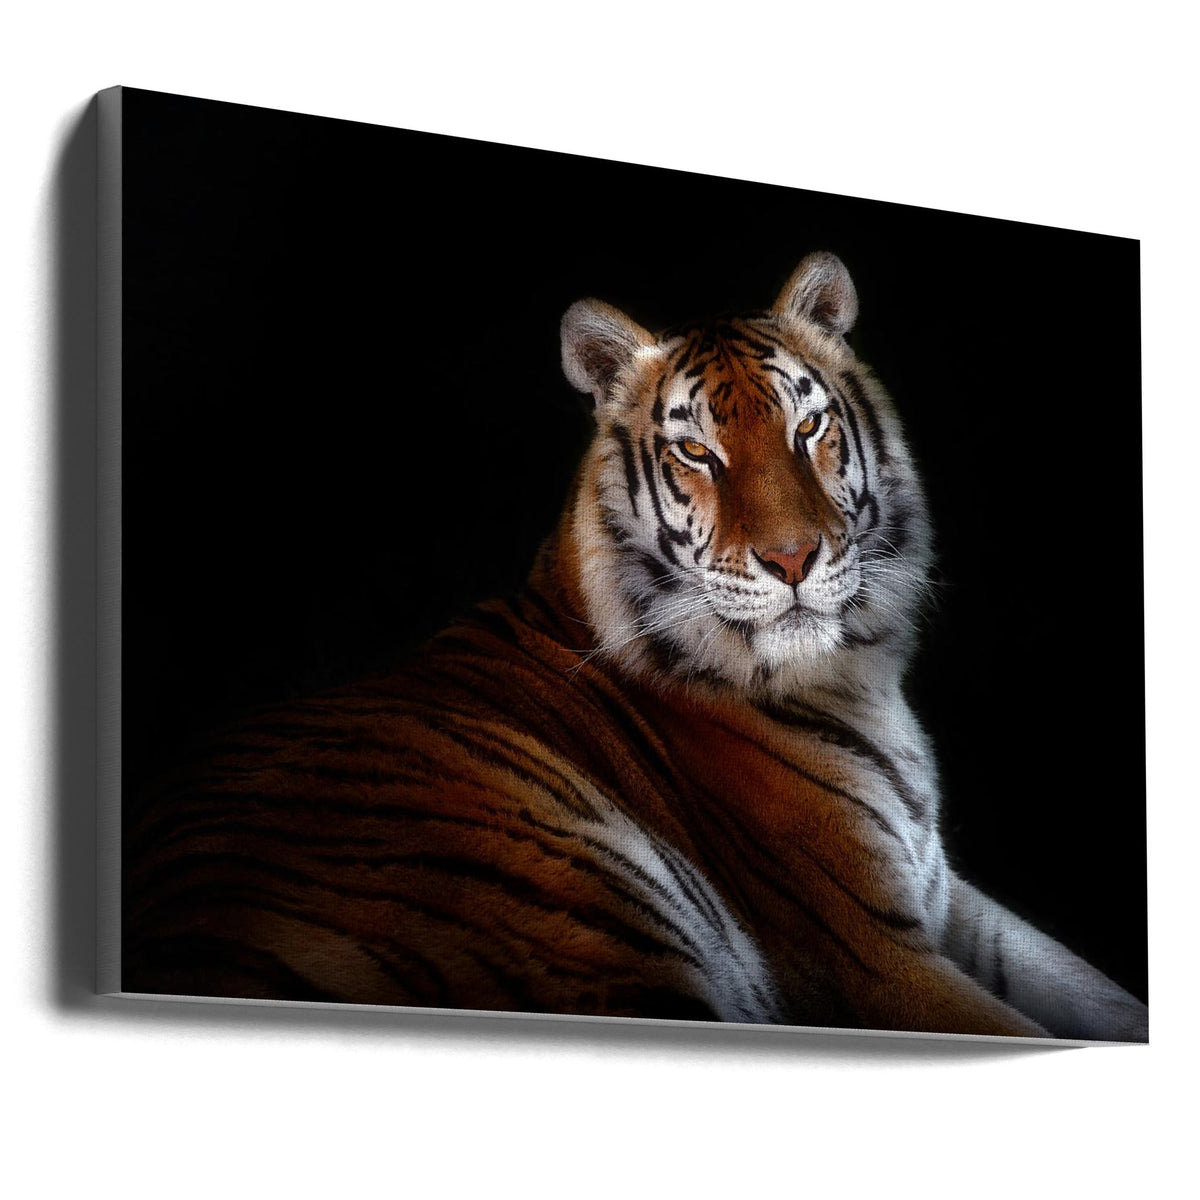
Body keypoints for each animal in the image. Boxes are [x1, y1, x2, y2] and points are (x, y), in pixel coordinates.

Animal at [122, 252, 1148, 1040]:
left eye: (807, 426)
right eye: (697, 453)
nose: (792, 558)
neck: (855, 673)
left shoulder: (945, 896)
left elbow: (1100, 992)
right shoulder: (873, 957)